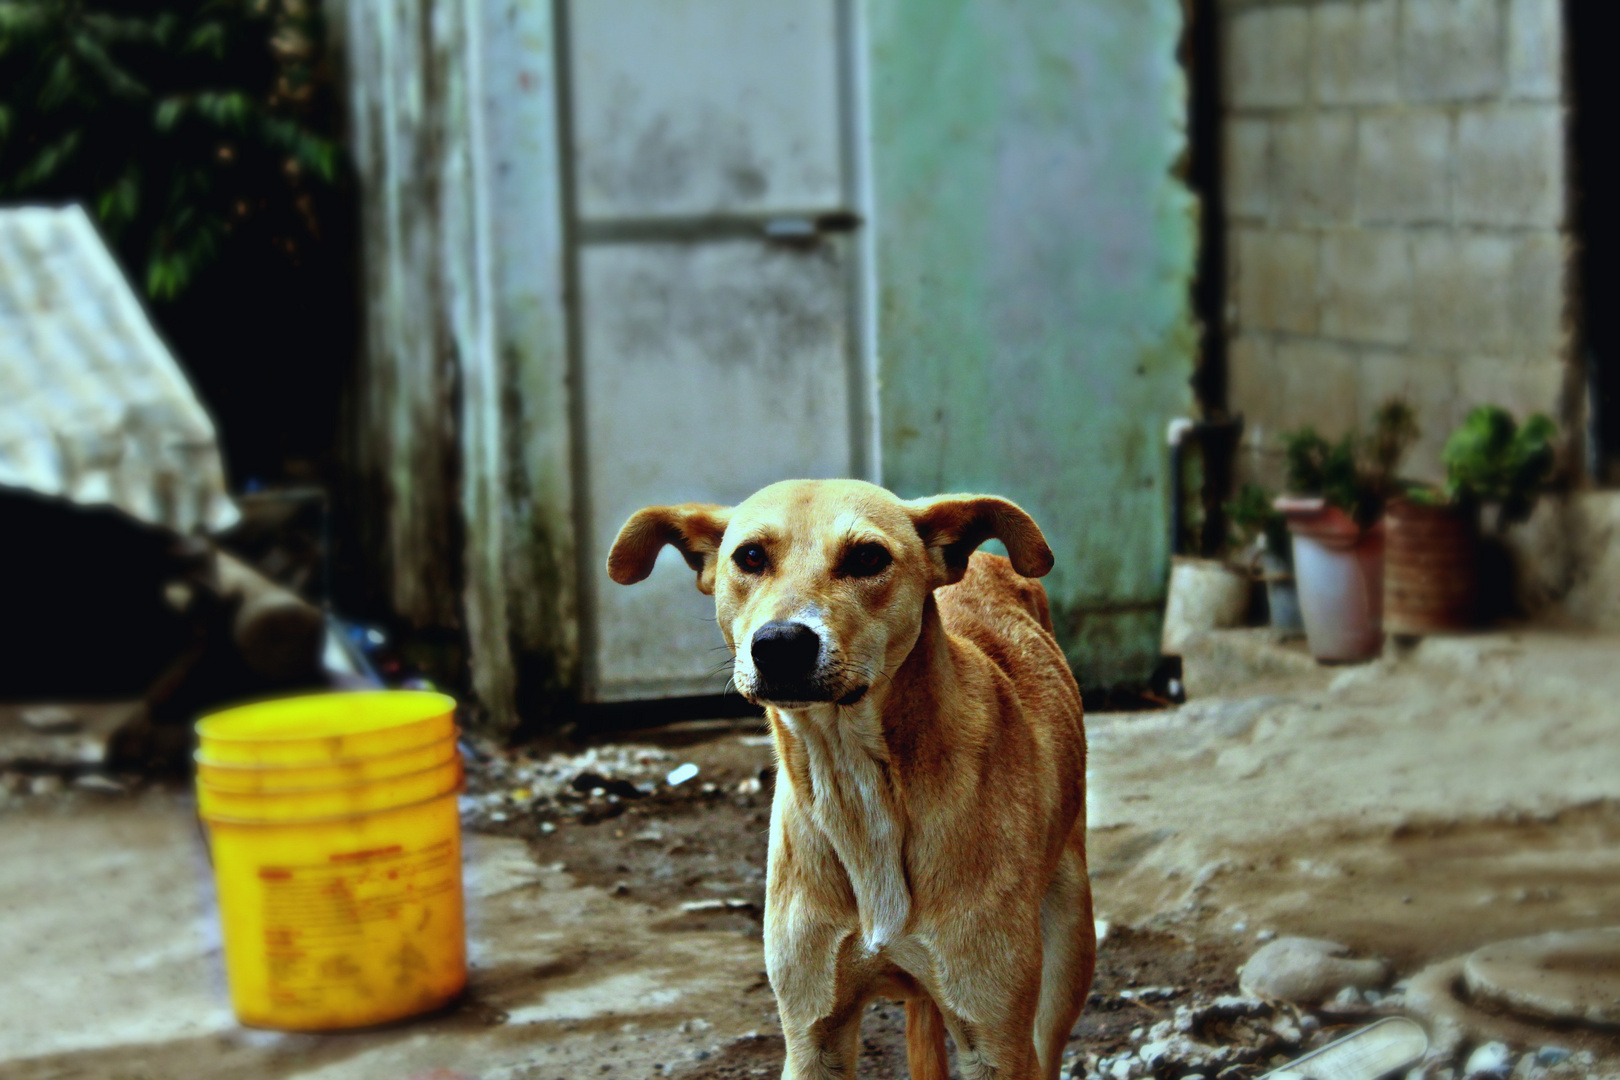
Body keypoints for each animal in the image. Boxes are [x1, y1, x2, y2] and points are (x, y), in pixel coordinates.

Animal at [609, 482, 1101, 1080]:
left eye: (868, 557)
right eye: (750, 556)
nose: (780, 644)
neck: (858, 785)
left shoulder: (996, 1042)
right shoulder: (812, 1034)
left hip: (1067, 949)